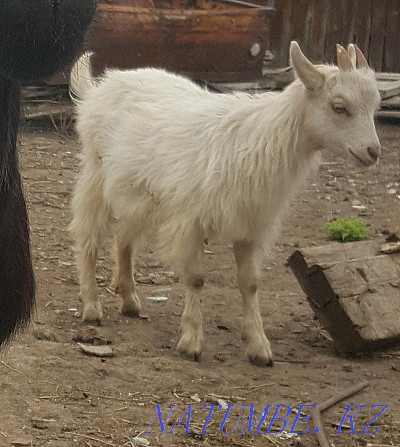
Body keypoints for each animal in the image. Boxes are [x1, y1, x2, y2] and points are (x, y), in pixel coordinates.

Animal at [71, 42, 382, 366]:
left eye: (375, 107)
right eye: (339, 106)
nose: (373, 152)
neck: (260, 141)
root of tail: (101, 86)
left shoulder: (250, 224)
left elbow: (250, 283)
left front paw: (258, 346)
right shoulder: (191, 220)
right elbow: (196, 278)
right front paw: (191, 342)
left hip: (140, 194)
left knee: (123, 239)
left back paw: (130, 300)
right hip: (96, 175)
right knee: (88, 238)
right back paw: (92, 307)